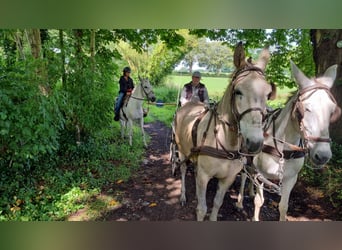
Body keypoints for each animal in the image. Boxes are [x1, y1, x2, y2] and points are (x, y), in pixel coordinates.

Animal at [174, 43, 276, 221]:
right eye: (238, 91)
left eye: (268, 94)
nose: (255, 143)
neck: (224, 141)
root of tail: (188, 105)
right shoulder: (204, 176)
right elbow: (202, 208)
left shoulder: (227, 179)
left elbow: (217, 203)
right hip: (181, 150)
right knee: (183, 169)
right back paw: (182, 195)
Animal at [236, 61, 340, 221]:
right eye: (306, 108)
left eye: (332, 110)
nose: (323, 155)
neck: (282, 150)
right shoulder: (261, 176)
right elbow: (259, 201)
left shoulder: (290, 179)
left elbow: (283, 207)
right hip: (245, 155)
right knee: (244, 175)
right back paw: (240, 201)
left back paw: (251, 191)